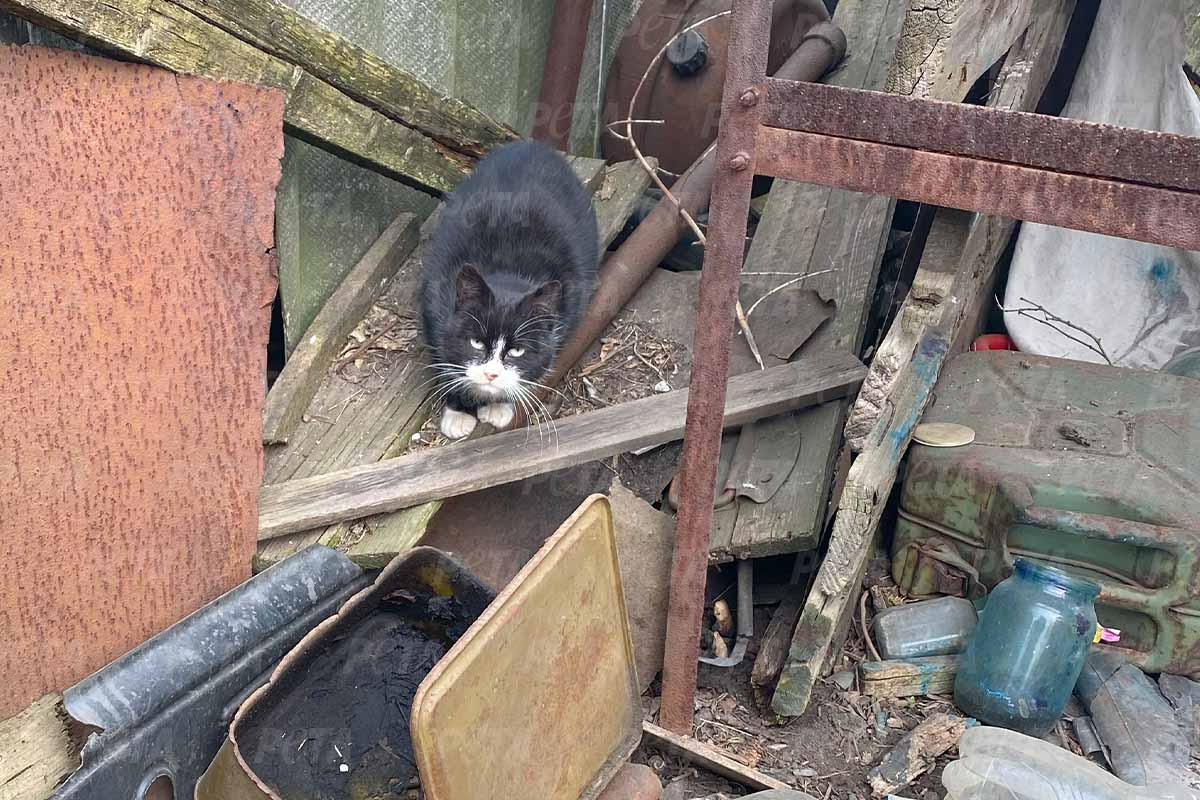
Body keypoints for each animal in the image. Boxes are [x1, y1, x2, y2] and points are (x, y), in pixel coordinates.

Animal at [420, 137, 597, 438]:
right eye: (476, 342)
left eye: (517, 351)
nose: (491, 374)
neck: (506, 272)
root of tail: (532, 144)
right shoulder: (433, 300)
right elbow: (443, 352)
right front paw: (458, 411)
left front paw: (499, 406)